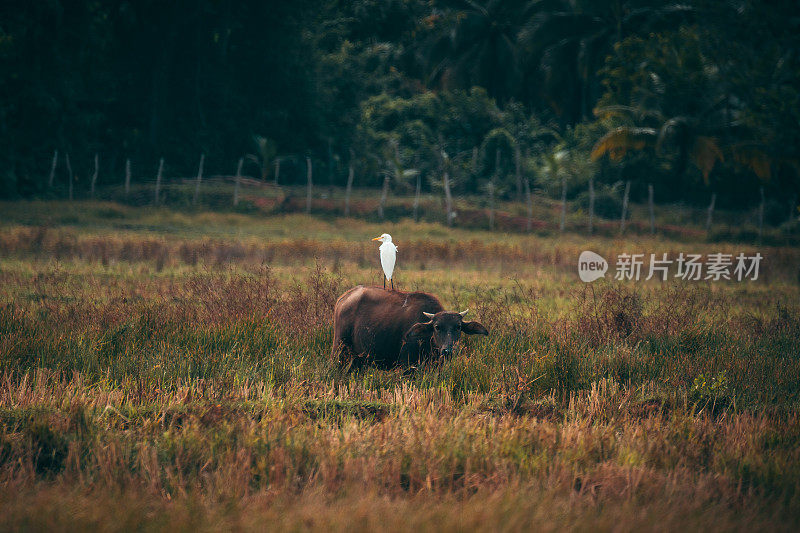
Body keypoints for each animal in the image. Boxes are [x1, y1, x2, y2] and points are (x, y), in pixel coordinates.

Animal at [330, 284, 488, 368]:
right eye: (437, 327)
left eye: (458, 327)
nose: (448, 351)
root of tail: (342, 299)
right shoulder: (406, 365)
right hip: (339, 351)